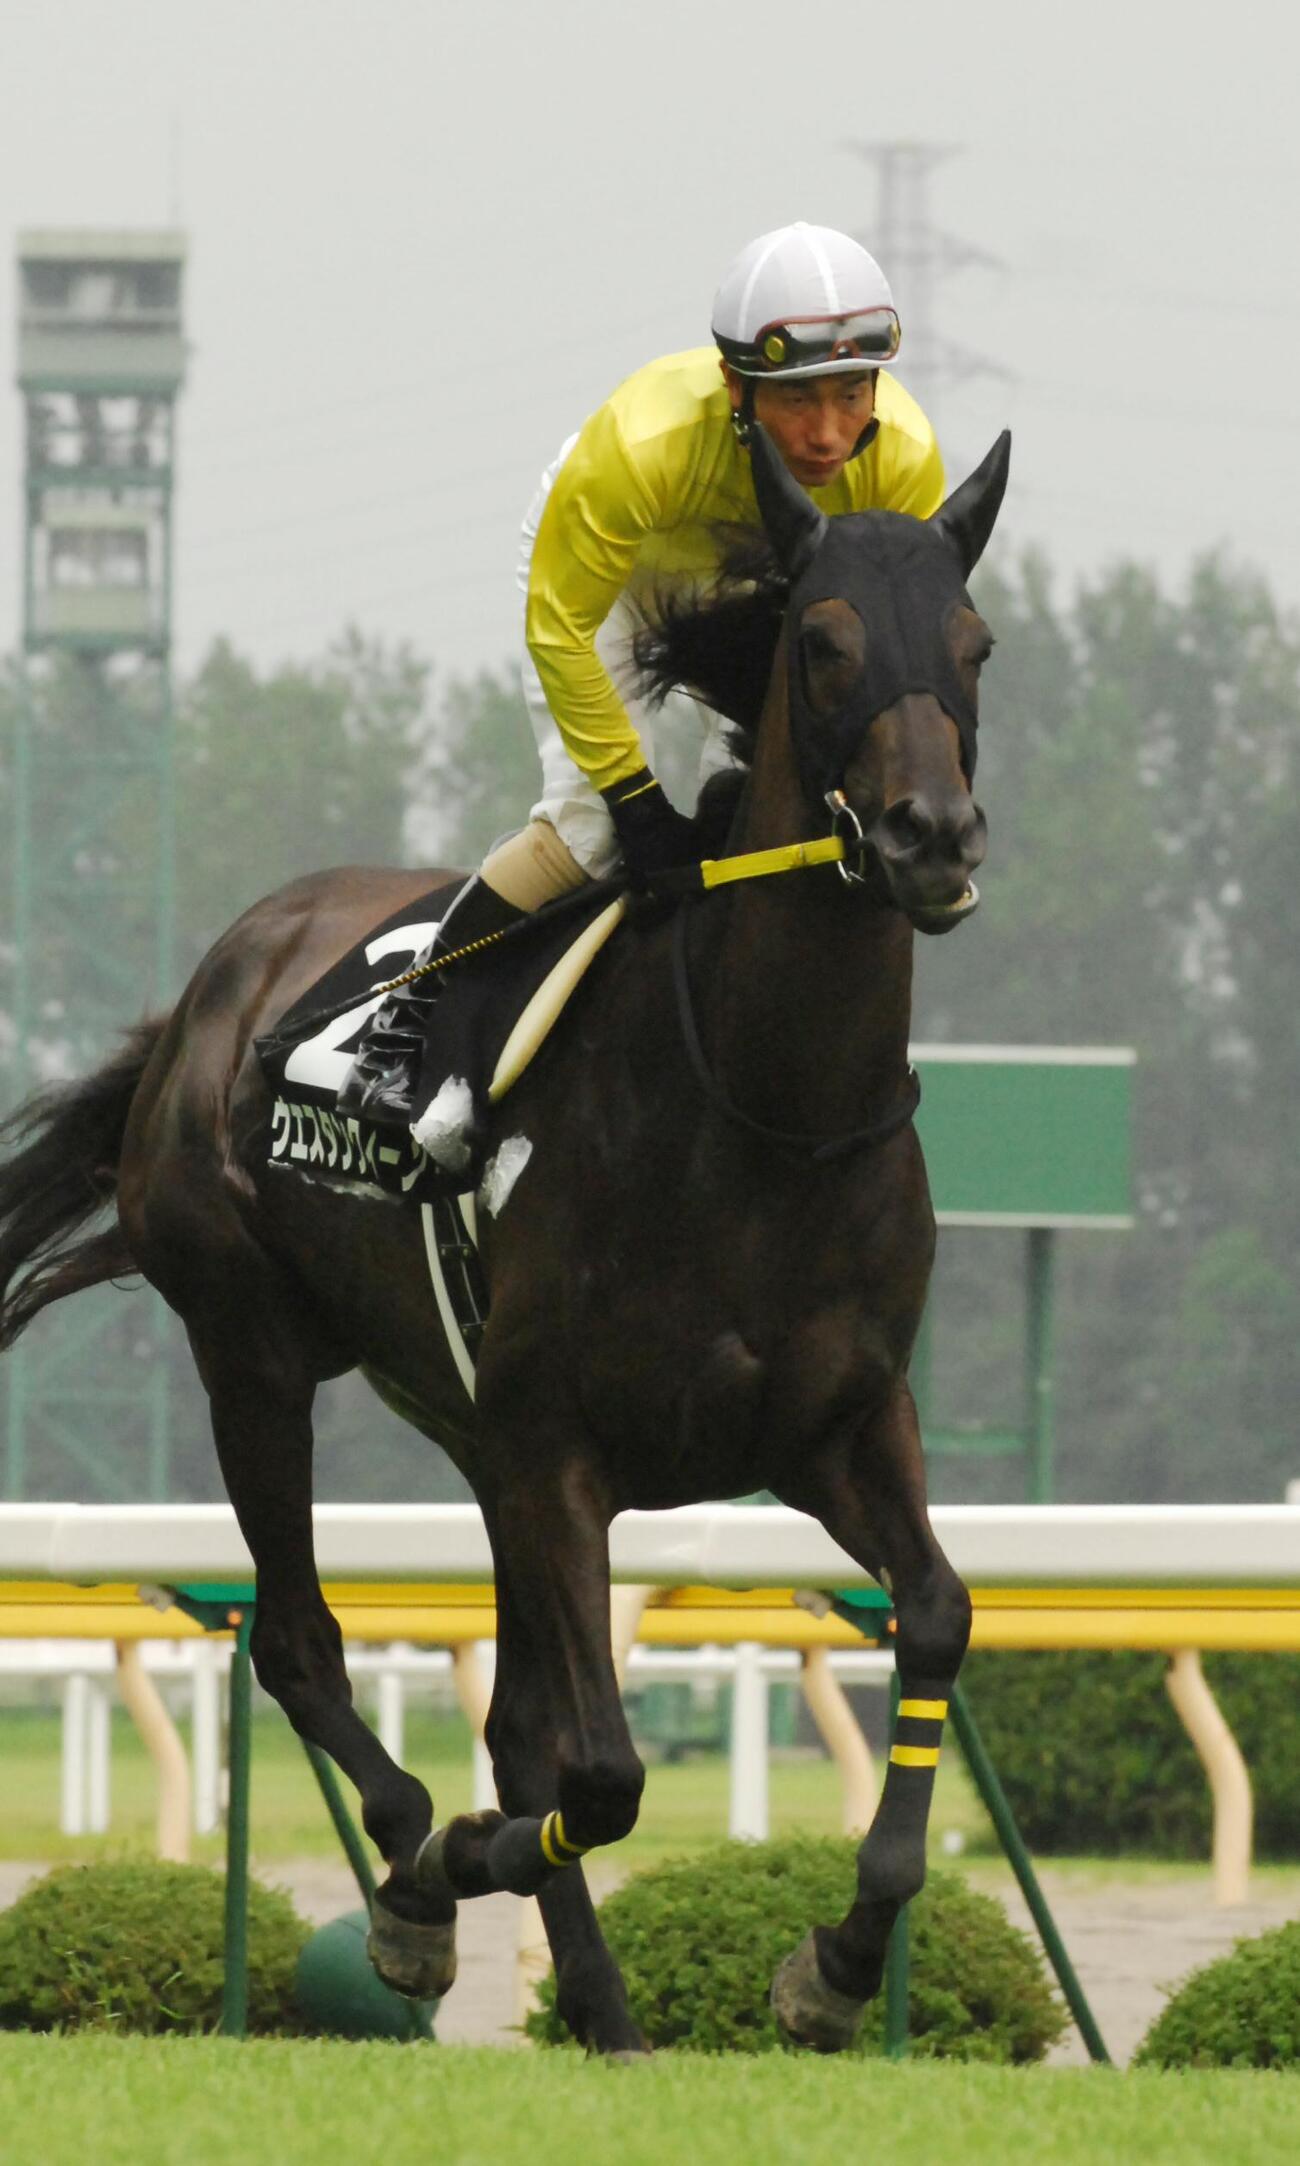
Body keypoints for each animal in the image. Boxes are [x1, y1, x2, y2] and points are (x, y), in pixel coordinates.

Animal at [0, 423, 1009, 2057]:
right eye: (821, 641)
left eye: (976, 643)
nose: (931, 838)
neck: (758, 1108)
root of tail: (216, 982)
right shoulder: (558, 1449)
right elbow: (595, 1770)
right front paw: (433, 1875)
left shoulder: (837, 1424)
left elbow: (930, 1616)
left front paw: (836, 1962)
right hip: (254, 1354)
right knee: (306, 1645)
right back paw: (422, 1878)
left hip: (465, 1435)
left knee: (511, 1715)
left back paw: (601, 2008)